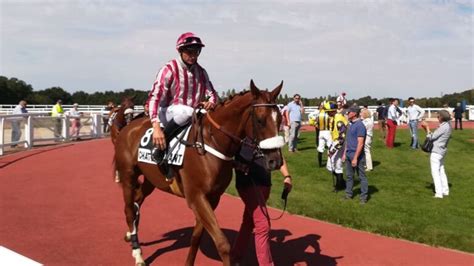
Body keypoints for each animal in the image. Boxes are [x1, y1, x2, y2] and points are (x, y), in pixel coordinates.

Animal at [114, 80, 286, 264]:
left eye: (280, 119)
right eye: (260, 121)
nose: (276, 161)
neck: (212, 142)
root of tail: (128, 126)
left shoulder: (212, 198)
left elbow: (196, 237)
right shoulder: (196, 197)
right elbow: (222, 244)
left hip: (151, 179)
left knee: (137, 200)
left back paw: (130, 234)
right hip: (128, 175)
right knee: (128, 210)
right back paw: (137, 253)